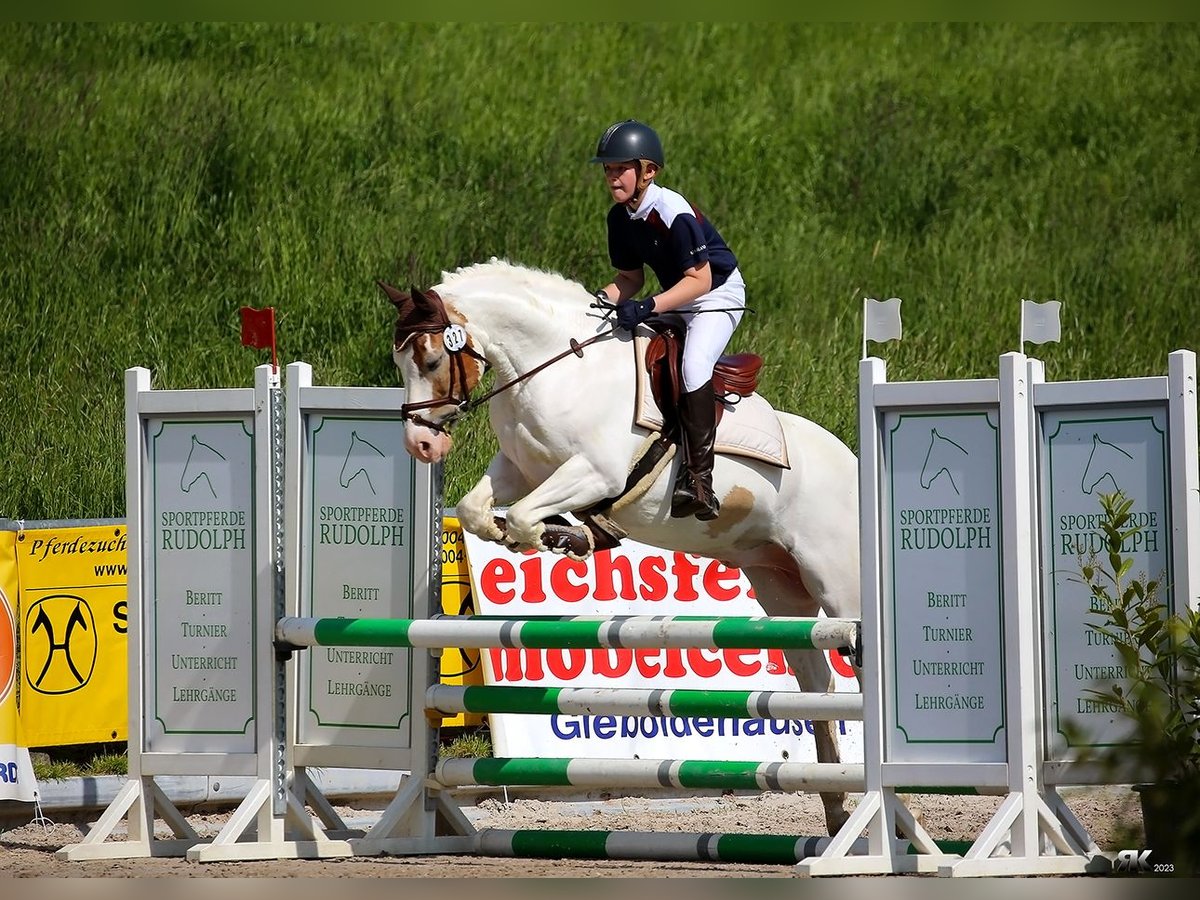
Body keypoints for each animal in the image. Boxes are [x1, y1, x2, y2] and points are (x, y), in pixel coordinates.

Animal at [384, 256, 864, 835]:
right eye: (399, 361)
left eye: (432, 358)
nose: (421, 444)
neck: (556, 366)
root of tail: (853, 461)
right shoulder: (521, 469)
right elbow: (480, 510)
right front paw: (536, 536)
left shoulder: (594, 472)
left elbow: (524, 514)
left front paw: (558, 535)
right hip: (781, 586)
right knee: (818, 682)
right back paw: (836, 809)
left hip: (836, 582)